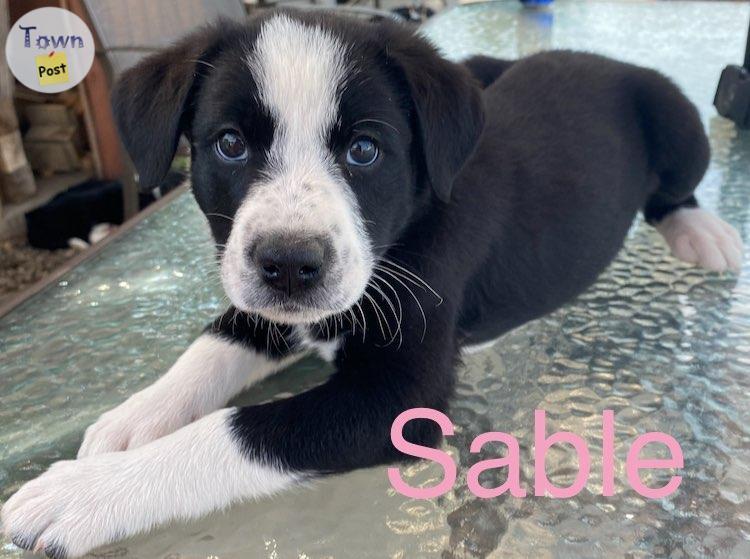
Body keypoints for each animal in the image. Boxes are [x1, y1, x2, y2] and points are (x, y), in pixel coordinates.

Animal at [1, 9, 748, 559]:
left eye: (365, 150)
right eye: (229, 144)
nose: (290, 265)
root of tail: (602, 59)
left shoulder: (400, 397)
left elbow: (235, 431)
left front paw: (83, 493)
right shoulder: (267, 298)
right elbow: (211, 348)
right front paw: (131, 421)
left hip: (678, 121)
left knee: (677, 185)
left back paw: (701, 233)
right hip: (479, 72)